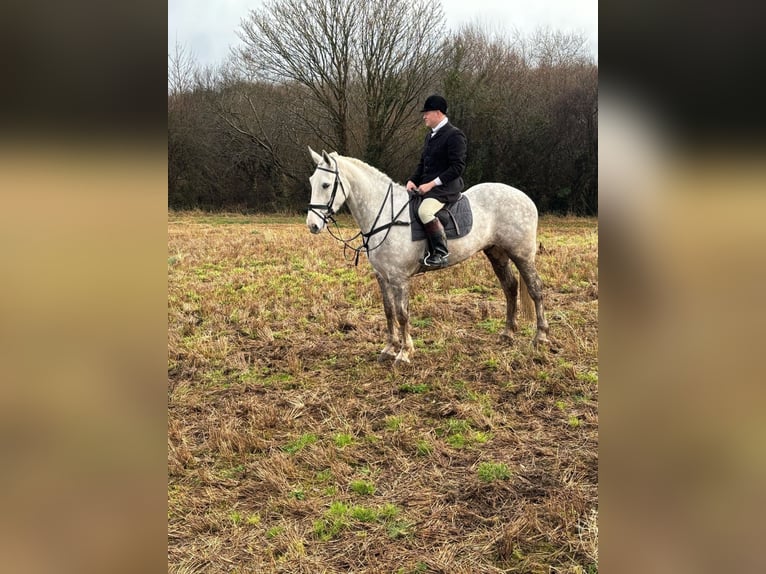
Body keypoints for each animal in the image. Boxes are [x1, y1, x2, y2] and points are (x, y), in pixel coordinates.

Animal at [306, 146, 552, 366]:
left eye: (326, 184)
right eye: (311, 182)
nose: (313, 225)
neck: (385, 215)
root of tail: (524, 198)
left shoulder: (399, 278)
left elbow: (402, 313)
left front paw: (404, 353)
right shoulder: (382, 277)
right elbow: (388, 311)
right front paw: (389, 348)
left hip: (522, 255)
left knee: (535, 289)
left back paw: (540, 337)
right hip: (496, 253)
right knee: (510, 287)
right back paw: (507, 333)